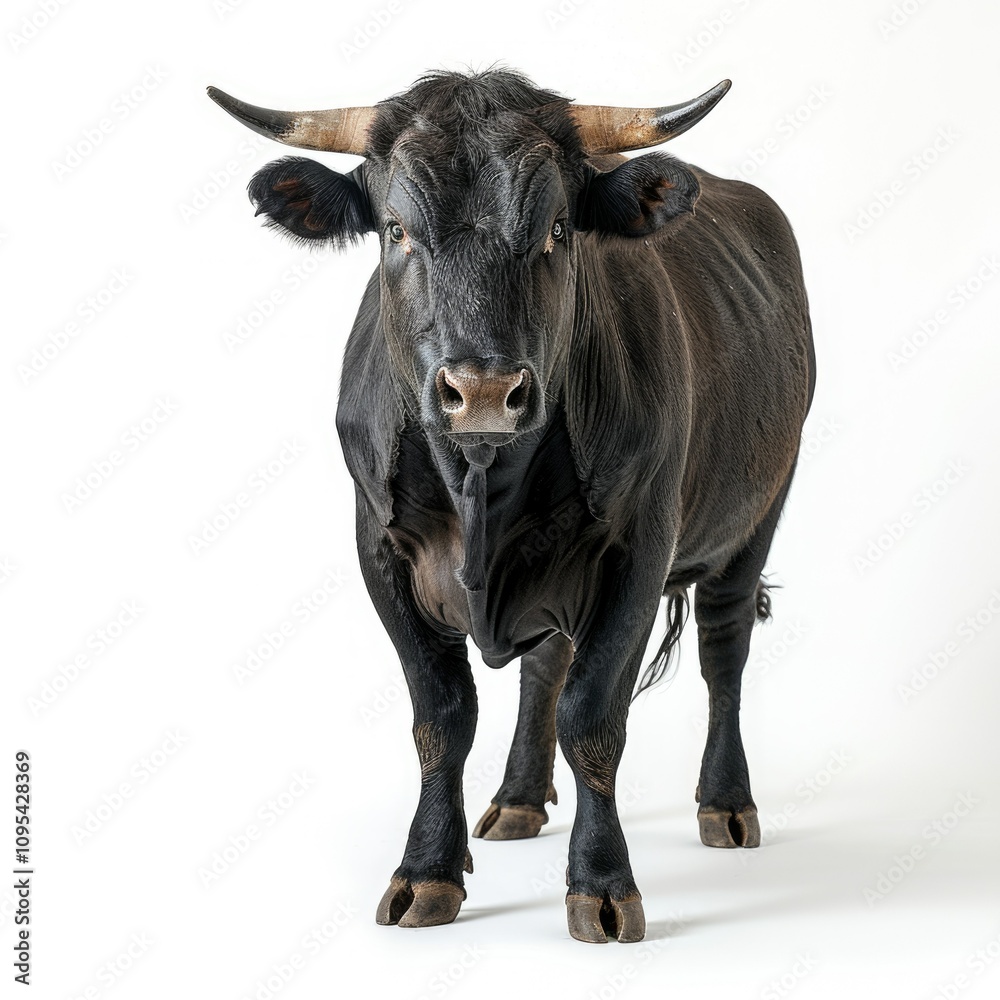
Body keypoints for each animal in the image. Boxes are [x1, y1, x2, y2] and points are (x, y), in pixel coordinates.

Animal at [208, 68, 815, 944]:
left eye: (559, 228)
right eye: (395, 229)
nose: (484, 390)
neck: (483, 482)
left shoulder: (639, 552)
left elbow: (593, 717)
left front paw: (601, 883)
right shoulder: (378, 548)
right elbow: (443, 716)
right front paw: (427, 867)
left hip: (762, 508)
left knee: (722, 648)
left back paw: (726, 804)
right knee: (545, 664)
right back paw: (519, 800)